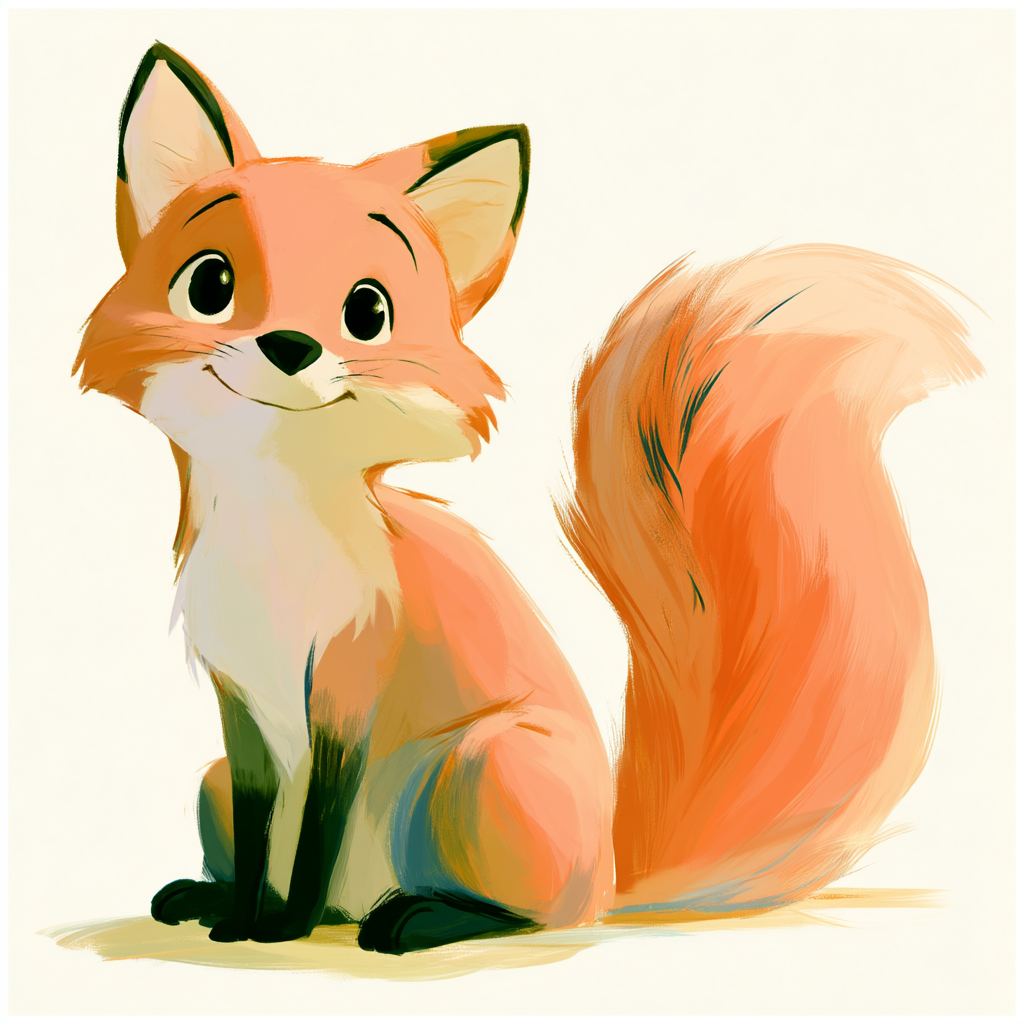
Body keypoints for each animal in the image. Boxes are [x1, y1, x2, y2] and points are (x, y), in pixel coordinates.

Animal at [74, 43, 980, 954]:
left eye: (367, 311)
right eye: (210, 284)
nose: (290, 346)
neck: (271, 554)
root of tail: (612, 872)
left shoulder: (348, 690)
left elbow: (316, 838)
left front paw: (281, 928)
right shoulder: (242, 712)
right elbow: (269, 836)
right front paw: (246, 915)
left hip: (482, 768)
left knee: (525, 917)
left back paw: (415, 918)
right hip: (213, 783)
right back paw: (216, 896)